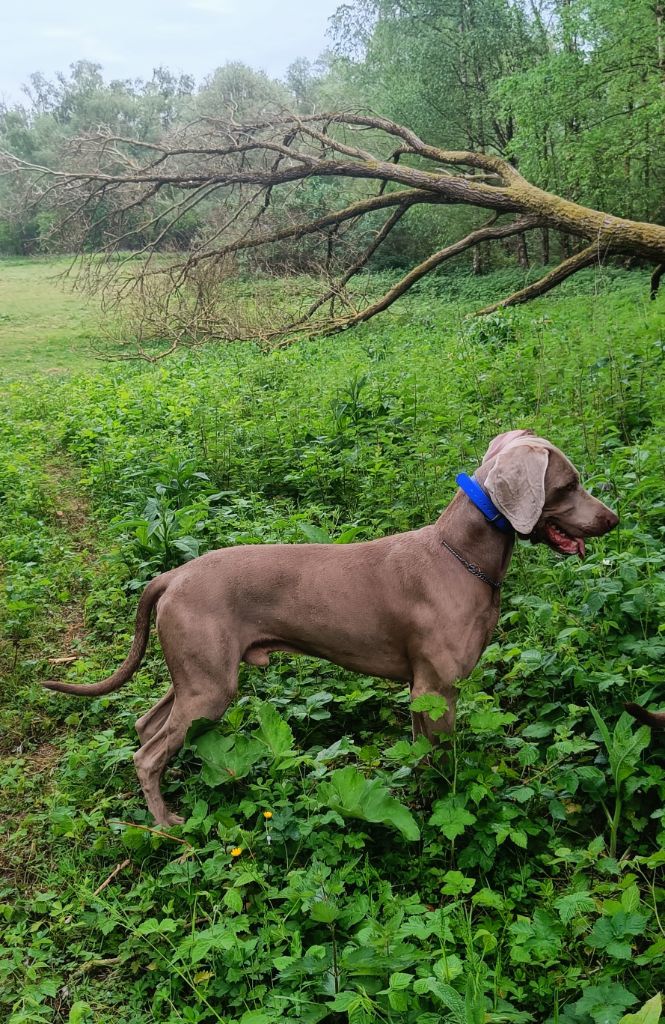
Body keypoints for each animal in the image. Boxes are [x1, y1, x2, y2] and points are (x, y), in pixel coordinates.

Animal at [45, 430, 618, 823]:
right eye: (568, 484)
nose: (612, 519)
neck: (459, 555)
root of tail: (172, 574)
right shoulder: (437, 688)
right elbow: (443, 763)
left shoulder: (421, 691)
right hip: (209, 686)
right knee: (146, 755)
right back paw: (167, 824)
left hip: (196, 674)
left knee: (146, 725)